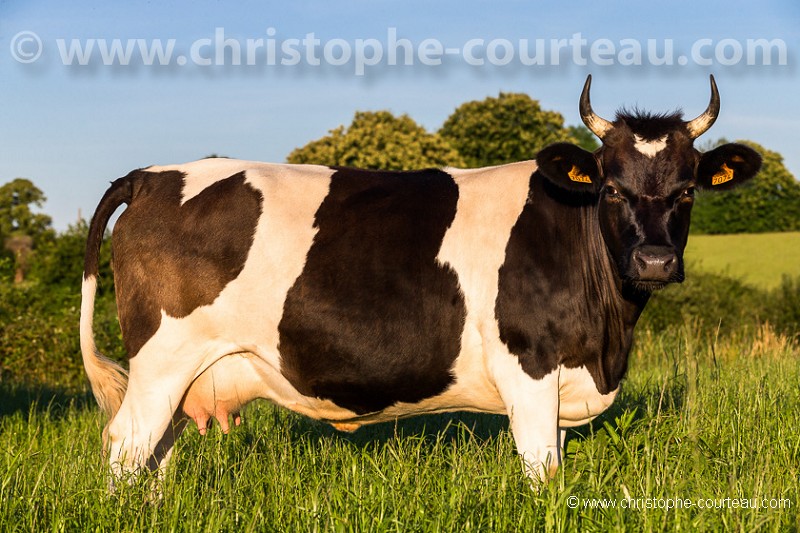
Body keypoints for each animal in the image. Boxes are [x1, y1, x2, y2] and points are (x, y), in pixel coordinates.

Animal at [81, 76, 764, 482]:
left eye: (686, 190)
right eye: (613, 188)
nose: (654, 262)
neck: (607, 342)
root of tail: (151, 174)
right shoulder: (529, 370)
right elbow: (543, 475)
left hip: (181, 376)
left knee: (155, 459)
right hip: (162, 358)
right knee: (125, 448)